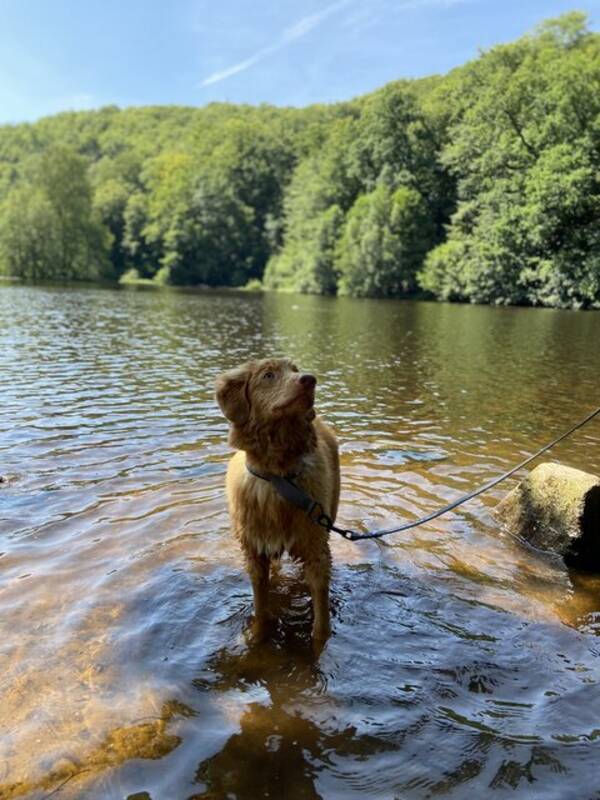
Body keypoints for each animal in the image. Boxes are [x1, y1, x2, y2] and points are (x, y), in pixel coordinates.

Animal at [216, 358, 340, 644]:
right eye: (268, 375)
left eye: (295, 370)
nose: (309, 379)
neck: (278, 478)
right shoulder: (254, 550)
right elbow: (260, 605)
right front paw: (257, 636)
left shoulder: (316, 548)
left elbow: (321, 609)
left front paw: (321, 639)